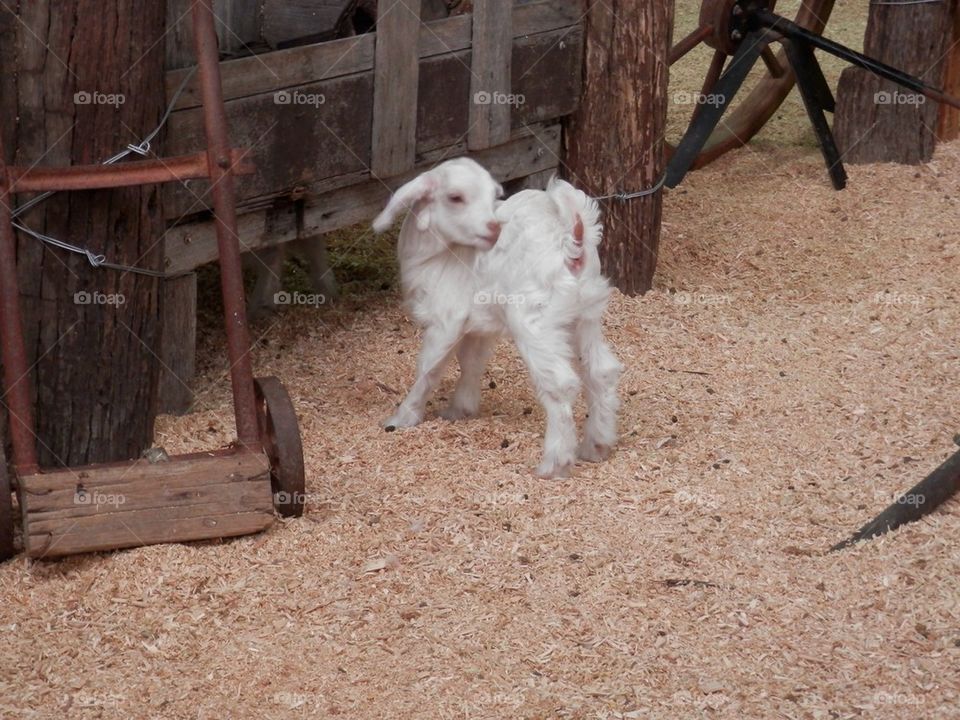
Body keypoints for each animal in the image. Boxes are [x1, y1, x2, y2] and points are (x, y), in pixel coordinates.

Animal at [372, 158, 623, 478]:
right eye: (455, 197)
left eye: (493, 195)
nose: (493, 229)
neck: (438, 255)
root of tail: (571, 238)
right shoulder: (477, 324)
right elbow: (471, 361)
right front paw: (460, 409)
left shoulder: (445, 318)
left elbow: (428, 369)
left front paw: (402, 417)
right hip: (584, 316)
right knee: (601, 371)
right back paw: (596, 446)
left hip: (534, 322)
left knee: (561, 384)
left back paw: (555, 464)